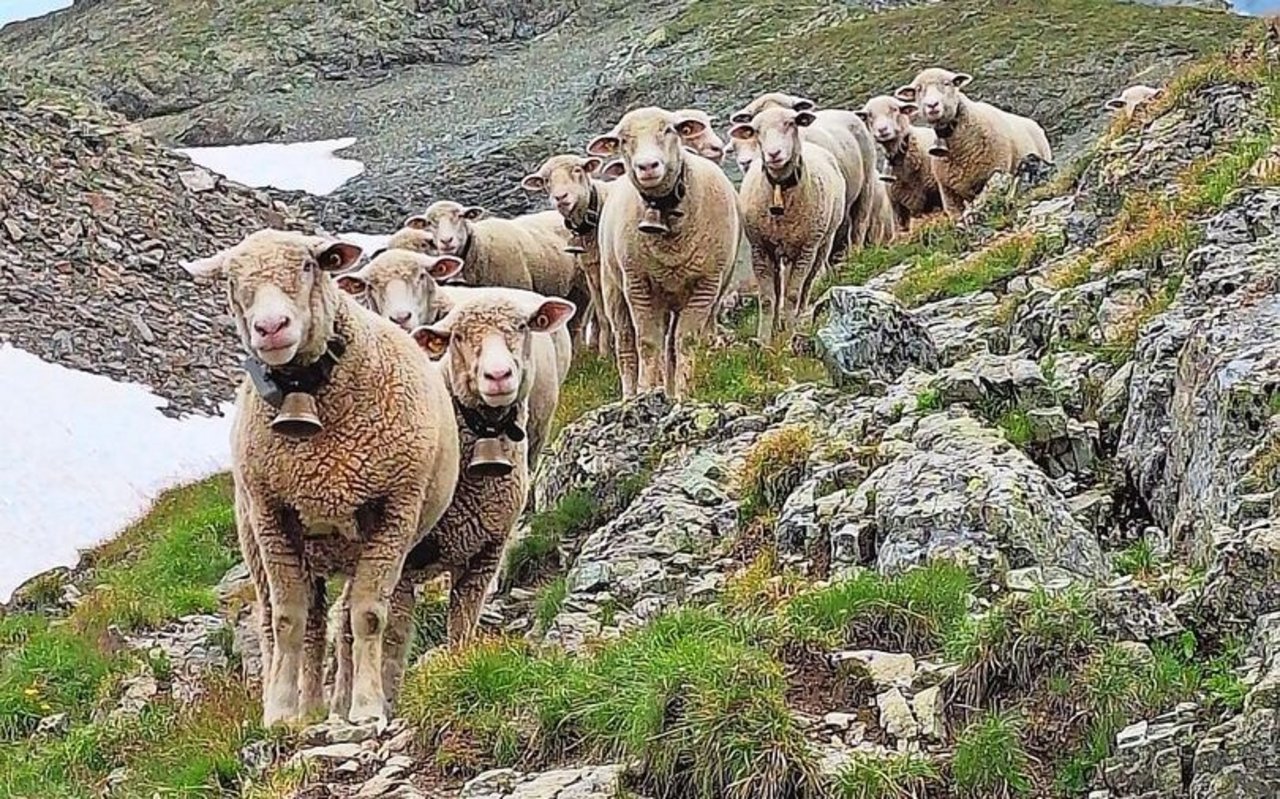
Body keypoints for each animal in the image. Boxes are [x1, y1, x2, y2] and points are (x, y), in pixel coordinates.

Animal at [180, 229, 460, 726]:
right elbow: (287, 619)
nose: (271, 327)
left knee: (340, 620)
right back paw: (302, 707)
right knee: (291, 622)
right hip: (258, 539)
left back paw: (332, 704)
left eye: (309, 266)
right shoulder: (273, 516)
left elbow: (367, 616)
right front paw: (279, 712)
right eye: (230, 279)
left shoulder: (394, 512)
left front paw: (366, 707)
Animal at [327, 288, 577, 717]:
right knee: (345, 618)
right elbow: (393, 642)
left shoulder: (485, 555)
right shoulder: (404, 562)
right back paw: (343, 705)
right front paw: (386, 704)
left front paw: (459, 669)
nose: (498, 376)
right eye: (458, 336)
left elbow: (461, 626)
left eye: (522, 326)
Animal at [586, 106, 742, 398]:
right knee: (626, 343)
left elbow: (685, 342)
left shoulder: (706, 284)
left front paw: (682, 394)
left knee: (669, 345)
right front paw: (647, 390)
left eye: (669, 129)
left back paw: (668, 390)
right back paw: (630, 393)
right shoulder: (638, 284)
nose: (647, 166)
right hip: (614, 287)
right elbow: (647, 342)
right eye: (623, 140)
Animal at [729, 106, 846, 344]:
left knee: (806, 286)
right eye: (756, 130)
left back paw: (798, 318)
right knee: (778, 288)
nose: (774, 154)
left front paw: (790, 334)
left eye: (790, 123)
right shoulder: (760, 249)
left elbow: (792, 294)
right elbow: (767, 298)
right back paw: (776, 325)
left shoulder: (805, 250)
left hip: (821, 245)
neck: (779, 190)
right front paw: (764, 340)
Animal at [730, 92, 878, 260]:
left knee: (859, 223)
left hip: (866, 185)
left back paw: (854, 254)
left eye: (791, 115)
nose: (774, 151)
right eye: (754, 121)